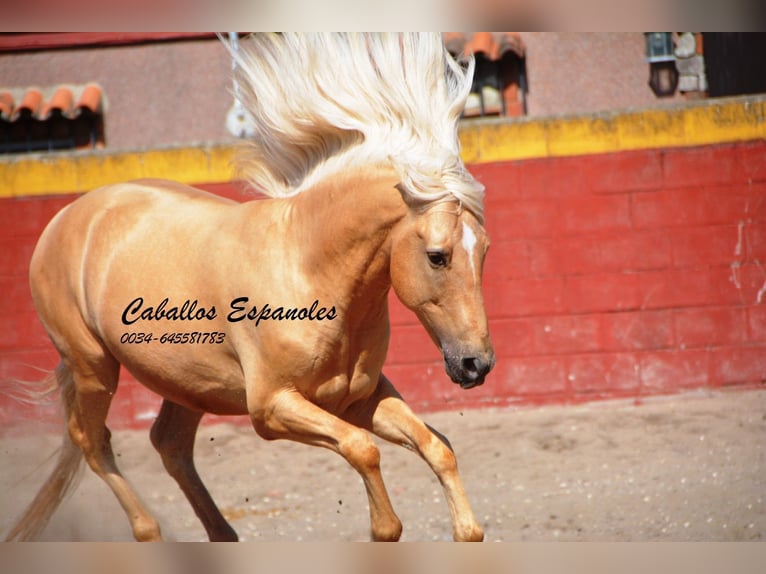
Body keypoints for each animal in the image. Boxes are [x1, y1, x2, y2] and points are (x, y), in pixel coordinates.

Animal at [6, 32, 496, 544]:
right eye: (437, 255)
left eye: (484, 250)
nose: (475, 364)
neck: (309, 271)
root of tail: (67, 218)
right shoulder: (272, 407)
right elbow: (364, 451)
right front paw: (385, 525)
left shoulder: (358, 398)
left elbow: (437, 447)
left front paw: (466, 528)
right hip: (92, 366)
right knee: (92, 440)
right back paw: (148, 530)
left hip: (185, 380)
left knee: (168, 443)